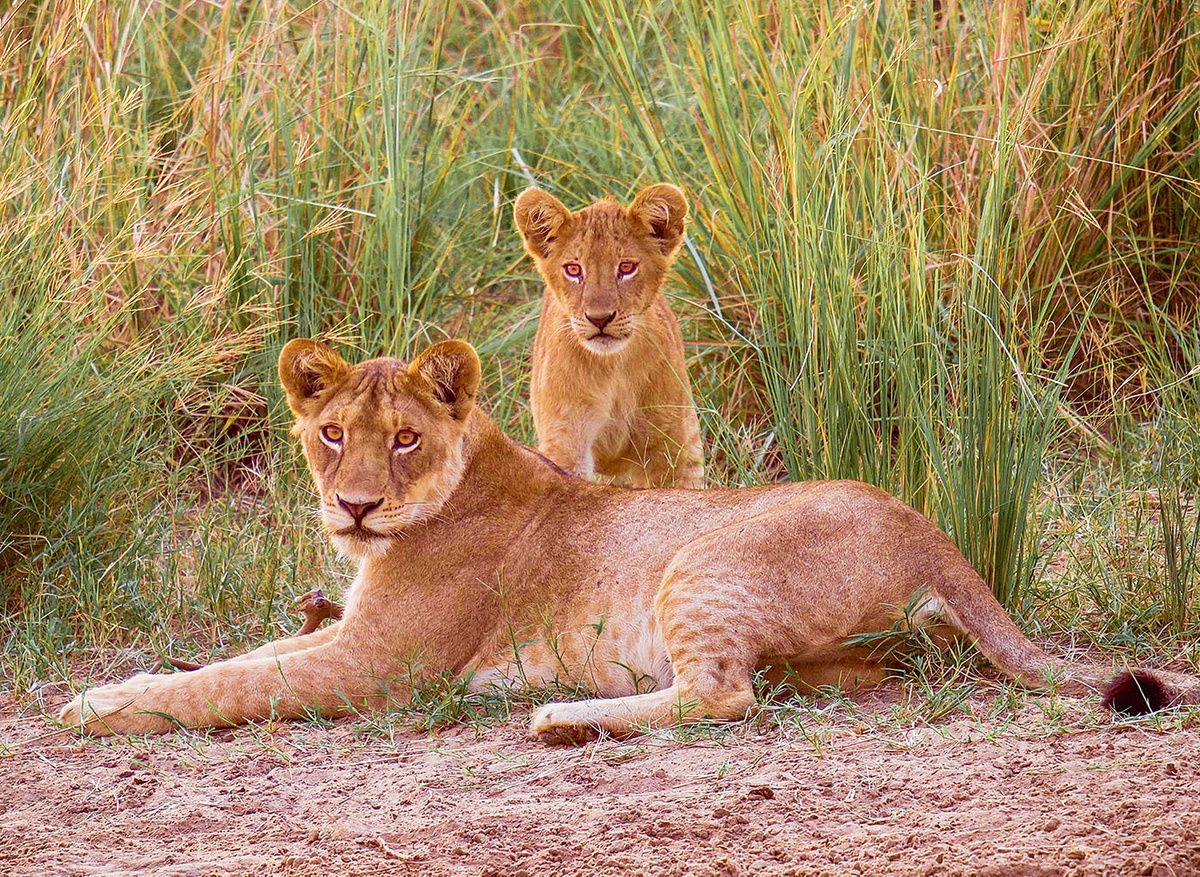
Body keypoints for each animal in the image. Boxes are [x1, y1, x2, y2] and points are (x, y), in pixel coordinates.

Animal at [59, 339, 1196, 739]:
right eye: (332, 432)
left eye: (404, 438)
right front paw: (114, 686)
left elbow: (232, 683)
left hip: (703, 562)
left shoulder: (378, 660)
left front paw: (97, 711)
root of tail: (930, 526)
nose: (355, 506)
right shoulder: (346, 629)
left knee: (723, 697)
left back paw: (559, 713)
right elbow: (241, 655)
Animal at [513, 184, 705, 489]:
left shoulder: (665, 442)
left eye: (626, 268)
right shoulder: (566, 439)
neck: (612, 367)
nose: (600, 319)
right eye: (573, 270)